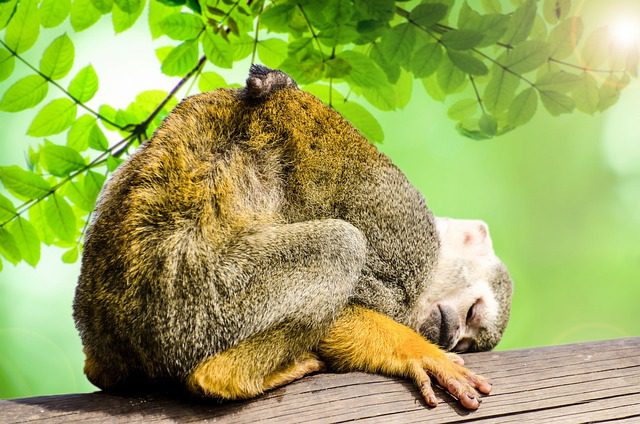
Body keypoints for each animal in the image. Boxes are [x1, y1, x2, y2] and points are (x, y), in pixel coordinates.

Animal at [73, 65, 512, 411]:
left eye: (467, 345)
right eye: (472, 315)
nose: (451, 337)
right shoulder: (405, 238)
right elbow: (347, 308)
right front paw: (415, 352)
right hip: (197, 301)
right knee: (341, 247)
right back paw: (224, 378)